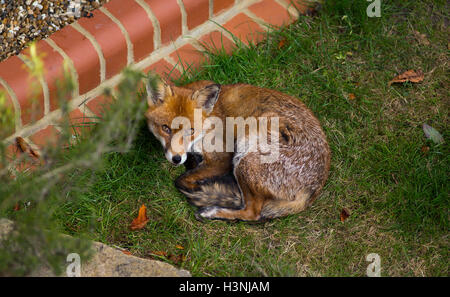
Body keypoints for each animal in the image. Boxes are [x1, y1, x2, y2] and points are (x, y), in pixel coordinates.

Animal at [145, 75, 330, 221]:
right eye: (165, 128)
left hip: (247, 151)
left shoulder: (222, 158)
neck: (209, 119)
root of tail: (314, 188)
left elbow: (182, 180)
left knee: (253, 212)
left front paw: (201, 187)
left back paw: (213, 210)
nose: (176, 159)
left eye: (191, 130)